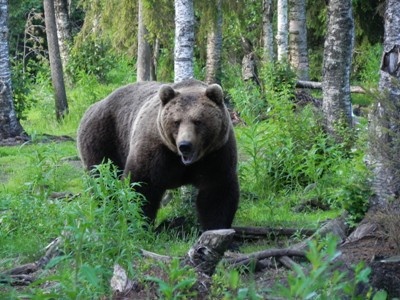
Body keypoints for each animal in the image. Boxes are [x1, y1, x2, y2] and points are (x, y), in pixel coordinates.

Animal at [77, 79, 239, 230]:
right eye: (176, 121)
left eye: (198, 121)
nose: (185, 145)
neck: (182, 160)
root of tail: (95, 105)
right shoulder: (155, 150)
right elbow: (141, 186)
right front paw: (137, 223)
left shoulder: (216, 153)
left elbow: (216, 192)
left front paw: (216, 226)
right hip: (104, 138)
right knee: (103, 180)